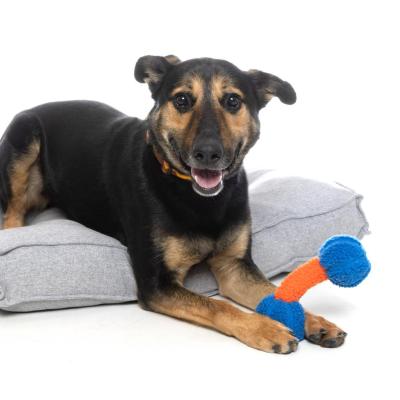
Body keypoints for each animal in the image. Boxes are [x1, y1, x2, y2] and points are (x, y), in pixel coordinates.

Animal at [0, 56, 346, 354]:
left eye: (232, 101)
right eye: (182, 100)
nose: (208, 153)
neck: (197, 197)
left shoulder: (235, 266)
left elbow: (275, 293)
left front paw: (314, 322)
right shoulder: (157, 283)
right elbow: (218, 305)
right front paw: (265, 328)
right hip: (23, 138)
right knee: (12, 212)